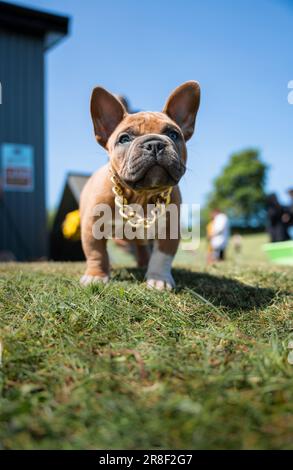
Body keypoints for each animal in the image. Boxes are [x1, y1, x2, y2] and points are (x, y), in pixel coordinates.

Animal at [79, 81, 198, 290]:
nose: (155, 144)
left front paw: (158, 280)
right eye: (124, 138)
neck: (141, 194)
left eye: (173, 134)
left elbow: (162, 257)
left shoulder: (169, 230)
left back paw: (143, 263)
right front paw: (96, 276)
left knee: (143, 249)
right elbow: (96, 253)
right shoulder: (91, 227)